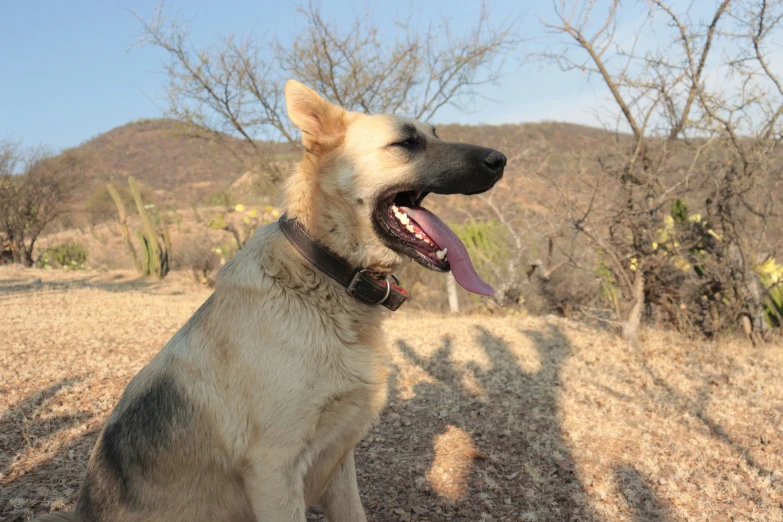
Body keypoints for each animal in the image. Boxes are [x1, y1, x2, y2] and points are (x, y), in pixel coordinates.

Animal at [33, 79, 506, 516]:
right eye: (406, 143)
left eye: (435, 133)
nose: (500, 160)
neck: (323, 275)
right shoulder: (274, 470)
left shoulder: (338, 459)